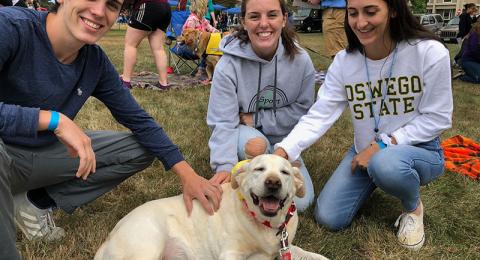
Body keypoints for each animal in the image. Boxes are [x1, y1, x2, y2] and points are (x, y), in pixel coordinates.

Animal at [94, 154, 326, 260]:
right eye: (259, 169)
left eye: (285, 172)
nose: (273, 183)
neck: (266, 224)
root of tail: (109, 237)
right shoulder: (230, 254)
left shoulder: (285, 246)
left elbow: (307, 253)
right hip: (147, 245)